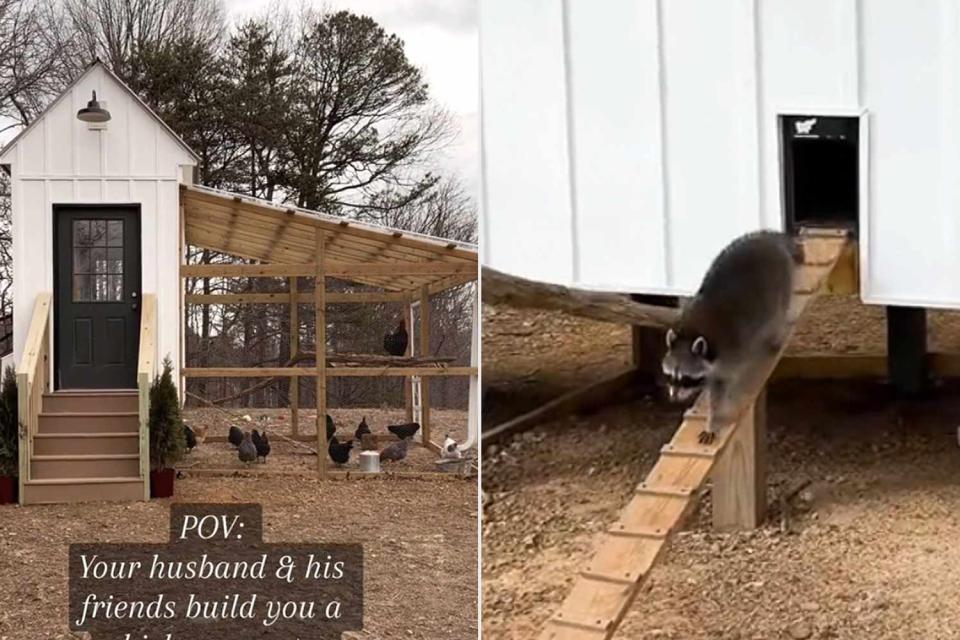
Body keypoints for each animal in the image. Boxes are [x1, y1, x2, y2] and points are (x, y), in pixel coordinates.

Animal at [660, 231, 804, 444]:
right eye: (670, 375)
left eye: (685, 378)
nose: (673, 397)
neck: (690, 334)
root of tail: (768, 240)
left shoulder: (731, 355)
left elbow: (722, 390)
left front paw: (714, 420)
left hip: (781, 282)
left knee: (779, 312)